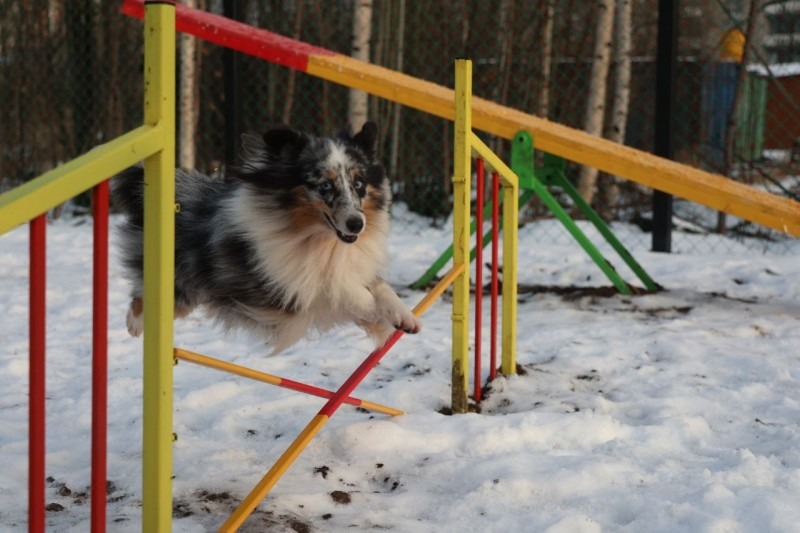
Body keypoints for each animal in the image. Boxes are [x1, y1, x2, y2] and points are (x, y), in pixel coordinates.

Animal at [114, 121, 424, 354]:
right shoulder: (289, 289)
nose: (357, 225)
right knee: (141, 298)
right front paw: (378, 312)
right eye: (324, 186)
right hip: (180, 287)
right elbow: (345, 292)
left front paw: (403, 317)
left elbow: (380, 288)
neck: (320, 240)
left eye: (359, 184)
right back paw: (133, 324)